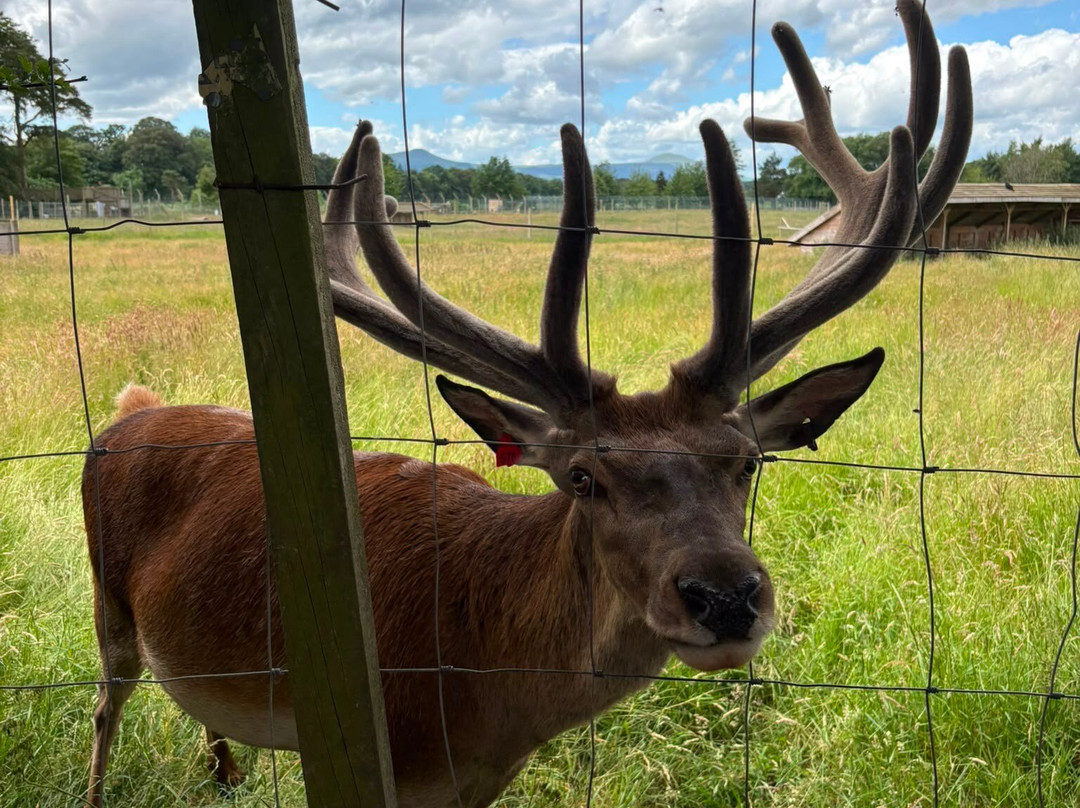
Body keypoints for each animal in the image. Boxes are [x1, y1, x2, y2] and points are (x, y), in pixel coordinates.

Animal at [83, 3, 971, 806]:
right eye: (581, 477)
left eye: (747, 462)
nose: (726, 597)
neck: (482, 694)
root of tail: (131, 409)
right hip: (107, 602)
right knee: (104, 706)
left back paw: (227, 771)